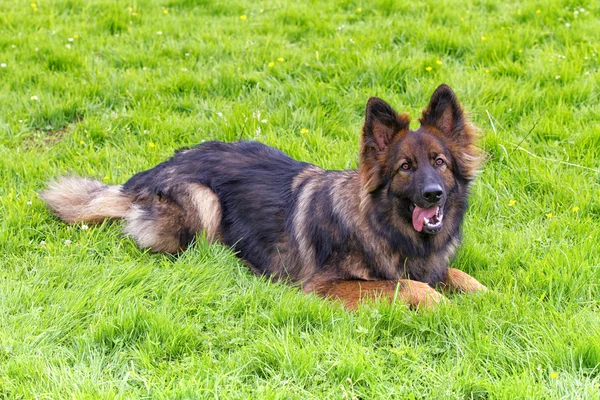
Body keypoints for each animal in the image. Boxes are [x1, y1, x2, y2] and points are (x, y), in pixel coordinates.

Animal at [41, 85, 488, 310]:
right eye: (405, 168)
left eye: (440, 163)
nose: (432, 195)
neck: (387, 228)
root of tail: (145, 175)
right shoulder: (323, 287)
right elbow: (407, 286)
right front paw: (443, 306)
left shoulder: (433, 265)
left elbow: (459, 277)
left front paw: (490, 298)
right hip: (203, 202)